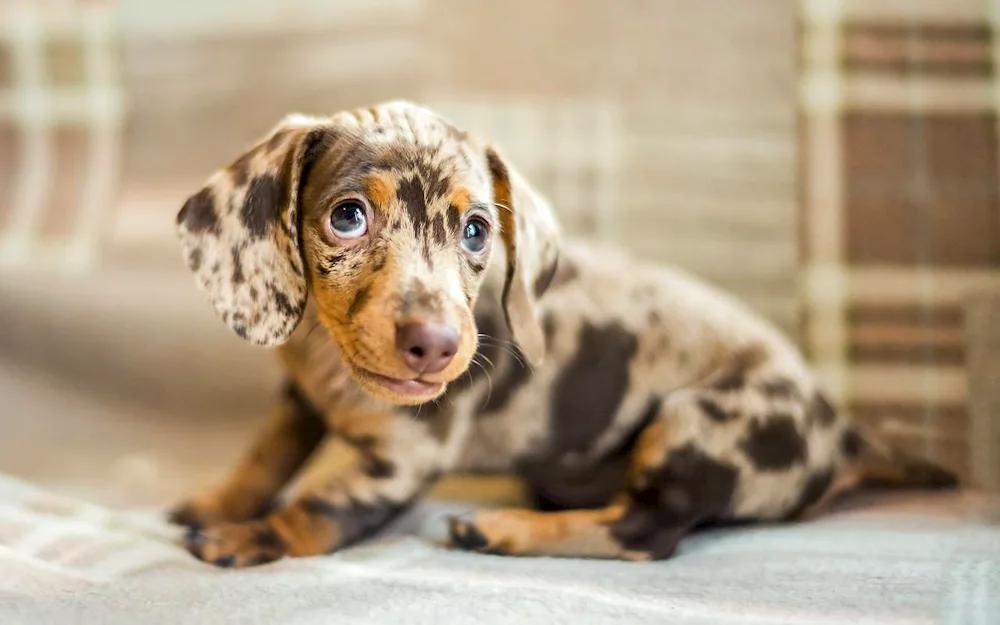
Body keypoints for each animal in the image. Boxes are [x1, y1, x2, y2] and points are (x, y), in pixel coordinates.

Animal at [174, 101, 960, 564]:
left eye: (476, 230)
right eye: (347, 217)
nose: (437, 346)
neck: (329, 354)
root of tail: (842, 432)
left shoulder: (402, 455)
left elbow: (321, 505)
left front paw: (252, 535)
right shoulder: (299, 395)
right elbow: (268, 451)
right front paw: (220, 501)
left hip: (697, 423)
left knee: (646, 531)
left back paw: (507, 528)